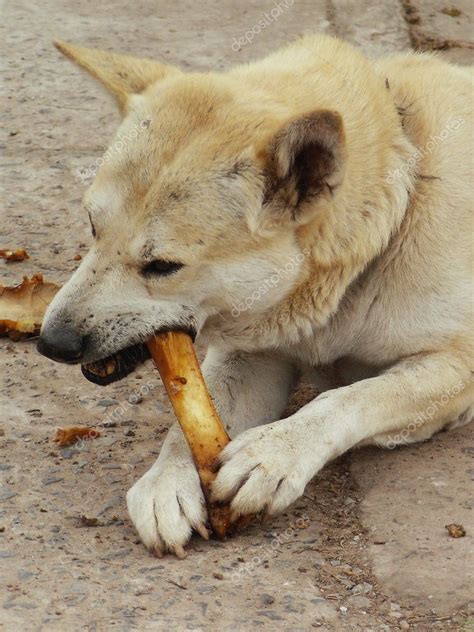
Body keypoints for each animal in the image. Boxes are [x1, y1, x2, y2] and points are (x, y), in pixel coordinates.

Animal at [39, 34, 472, 556]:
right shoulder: (253, 355)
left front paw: (275, 453)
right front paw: (168, 481)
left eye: (162, 267)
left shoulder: (457, 368)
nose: (51, 344)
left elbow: (351, 397)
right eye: (92, 228)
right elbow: (194, 421)